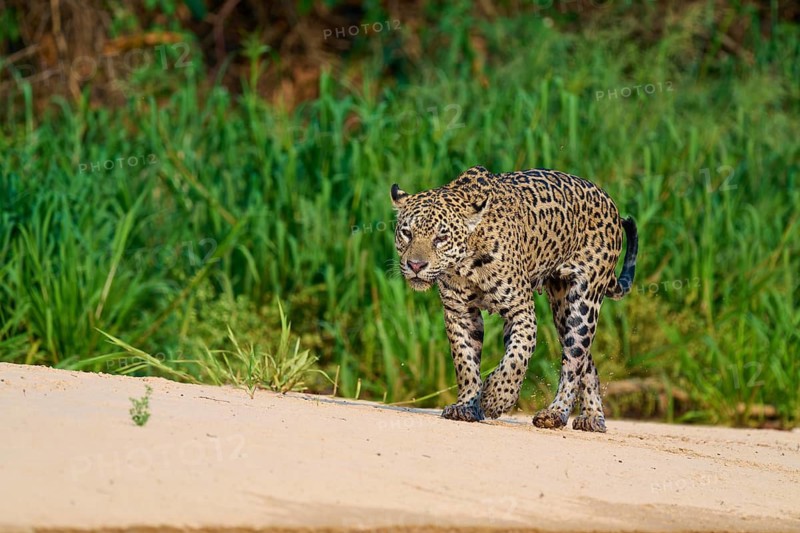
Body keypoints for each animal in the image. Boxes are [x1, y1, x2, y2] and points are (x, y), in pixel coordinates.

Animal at [390, 165, 638, 432]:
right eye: (407, 233)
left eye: (440, 238)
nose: (415, 265)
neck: (466, 263)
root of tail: (609, 201)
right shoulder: (459, 313)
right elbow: (465, 362)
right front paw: (466, 406)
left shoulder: (521, 311)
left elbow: (517, 357)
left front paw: (495, 398)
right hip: (562, 308)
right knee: (585, 360)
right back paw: (592, 416)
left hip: (583, 303)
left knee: (573, 362)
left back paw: (556, 413)